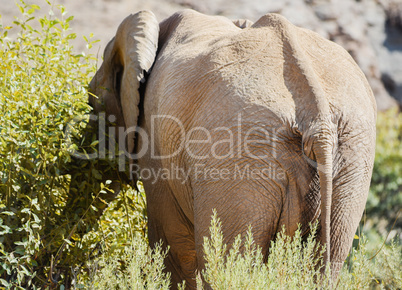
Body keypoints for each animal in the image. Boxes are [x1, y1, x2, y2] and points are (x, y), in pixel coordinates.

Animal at [88, 9, 376, 288]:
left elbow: (173, 249)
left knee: (228, 261)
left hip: (238, 161)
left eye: (94, 104)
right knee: (326, 260)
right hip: (351, 161)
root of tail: (316, 116)